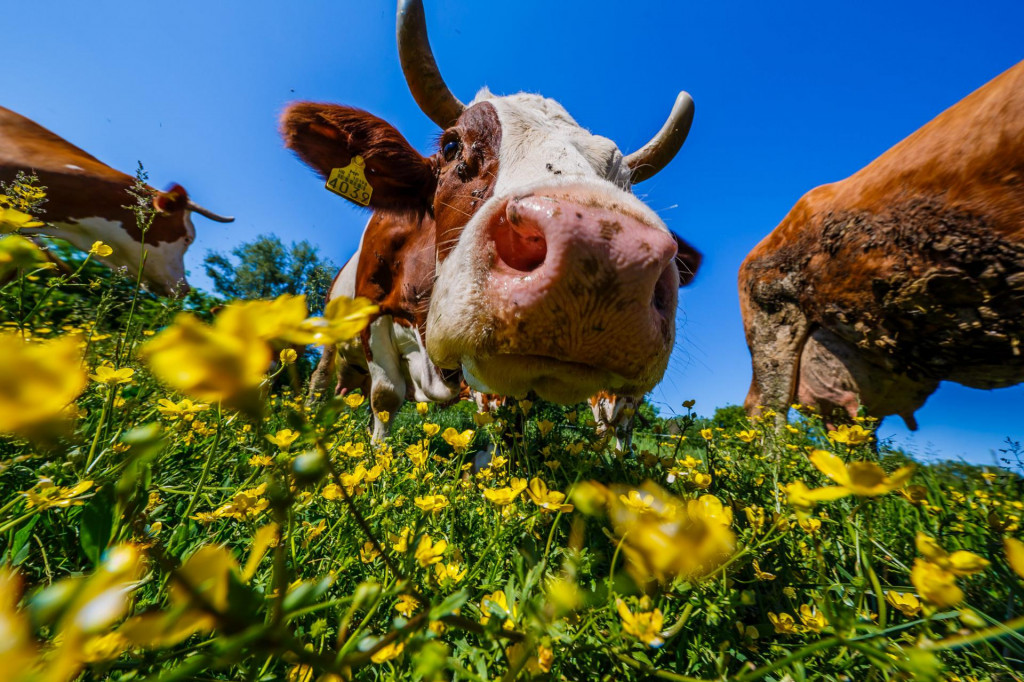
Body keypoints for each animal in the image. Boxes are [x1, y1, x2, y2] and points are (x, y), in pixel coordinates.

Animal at [288, 0, 704, 438]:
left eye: (626, 181)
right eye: (452, 146)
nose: (603, 254)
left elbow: (503, 422)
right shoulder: (373, 316)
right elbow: (385, 399)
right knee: (324, 382)